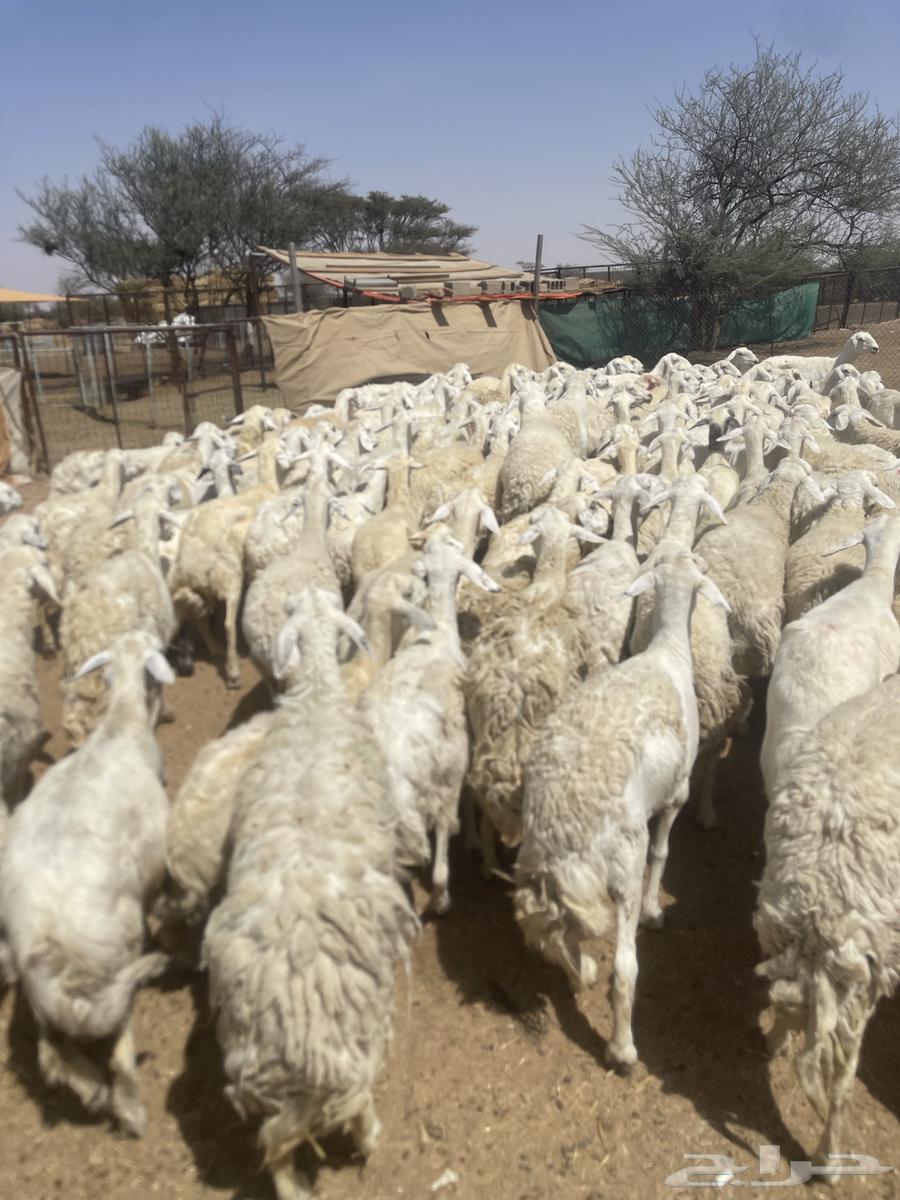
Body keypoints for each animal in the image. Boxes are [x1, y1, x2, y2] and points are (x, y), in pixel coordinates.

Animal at [0, 631, 174, 1136]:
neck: (120, 728)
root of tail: (49, 934)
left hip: (38, 988)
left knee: (49, 1055)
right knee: (117, 1042)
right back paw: (127, 1106)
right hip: (117, 952)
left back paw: (90, 1088)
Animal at [202, 588, 418, 1200]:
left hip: (255, 1060)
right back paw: (372, 1139)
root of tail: (292, 1018)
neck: (319, 694)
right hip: (354, 1039)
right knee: (356, 1101)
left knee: (276, 1148)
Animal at [515, 549, 729, 1071]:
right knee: (625, 968)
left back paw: (581, 973)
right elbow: (663, 854)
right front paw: (656, 909)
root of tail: (564, 829)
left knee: (551, 934)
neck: (668, 651)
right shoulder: (675, 795)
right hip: (621, 863)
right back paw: (622, 1049)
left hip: (540, 866)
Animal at [755, 672, 900, 1175]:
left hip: (785, 941)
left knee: (781, 999)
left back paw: (776, 1040)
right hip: (860, 982)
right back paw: (829, 1161)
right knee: (840, 1081)